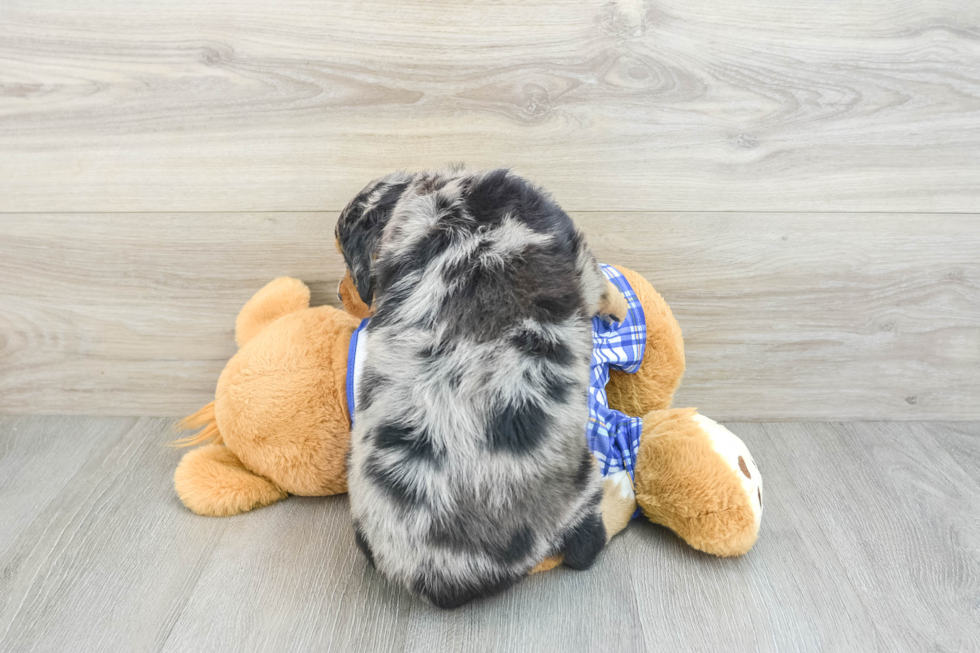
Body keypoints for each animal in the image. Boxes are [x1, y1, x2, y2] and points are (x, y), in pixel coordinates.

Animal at [336, 167, 624, 608]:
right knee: (587, 544)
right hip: (581, 483)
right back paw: (620, 497)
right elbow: (605, 287)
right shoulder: (580, 258)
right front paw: (621, 305)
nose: (337, 293)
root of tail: (436, 578)